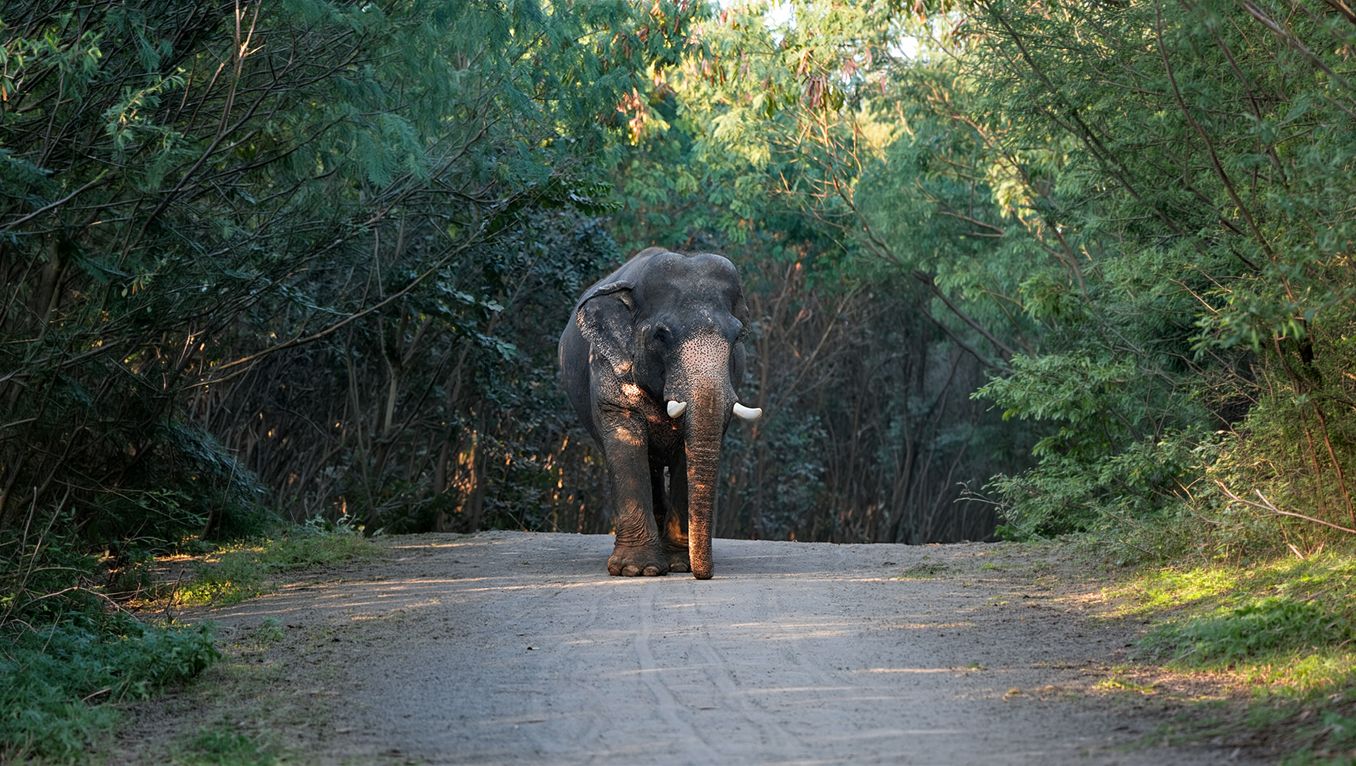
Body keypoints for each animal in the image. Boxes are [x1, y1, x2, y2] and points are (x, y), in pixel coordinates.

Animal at [558, 247, 762, 579]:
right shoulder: (607, 368)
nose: (705, 574)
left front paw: (679, 565)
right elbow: (626, 443)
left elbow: (686, 452)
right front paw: (637, 569)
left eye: (736, 337)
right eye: (661, 335)